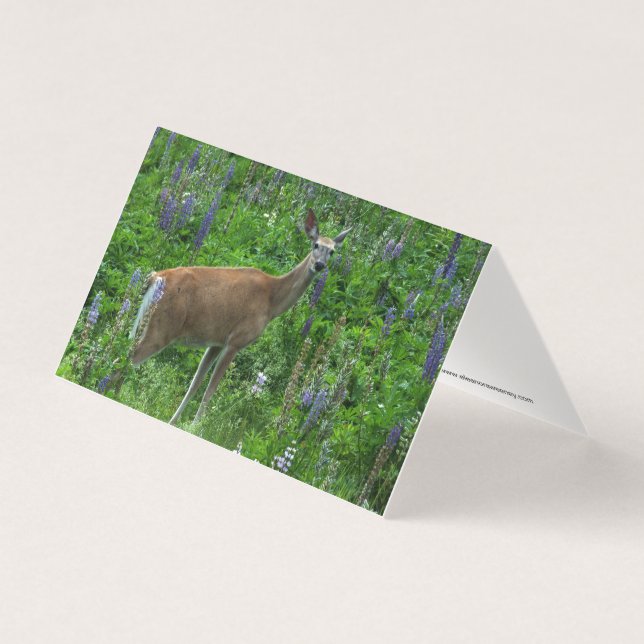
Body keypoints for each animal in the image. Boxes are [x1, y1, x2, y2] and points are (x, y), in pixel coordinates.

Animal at [128, 209, 351, 426]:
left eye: (333, 251)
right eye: (315, 244)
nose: (319, 265)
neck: (272, 301)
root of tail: (156, 277)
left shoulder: (216, 341)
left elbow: (195, 384)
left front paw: (173, 421)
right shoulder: (237, 340)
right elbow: (210, 390)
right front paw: (195, 426)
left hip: (142, 323)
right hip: (162, 328)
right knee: (130, 358)